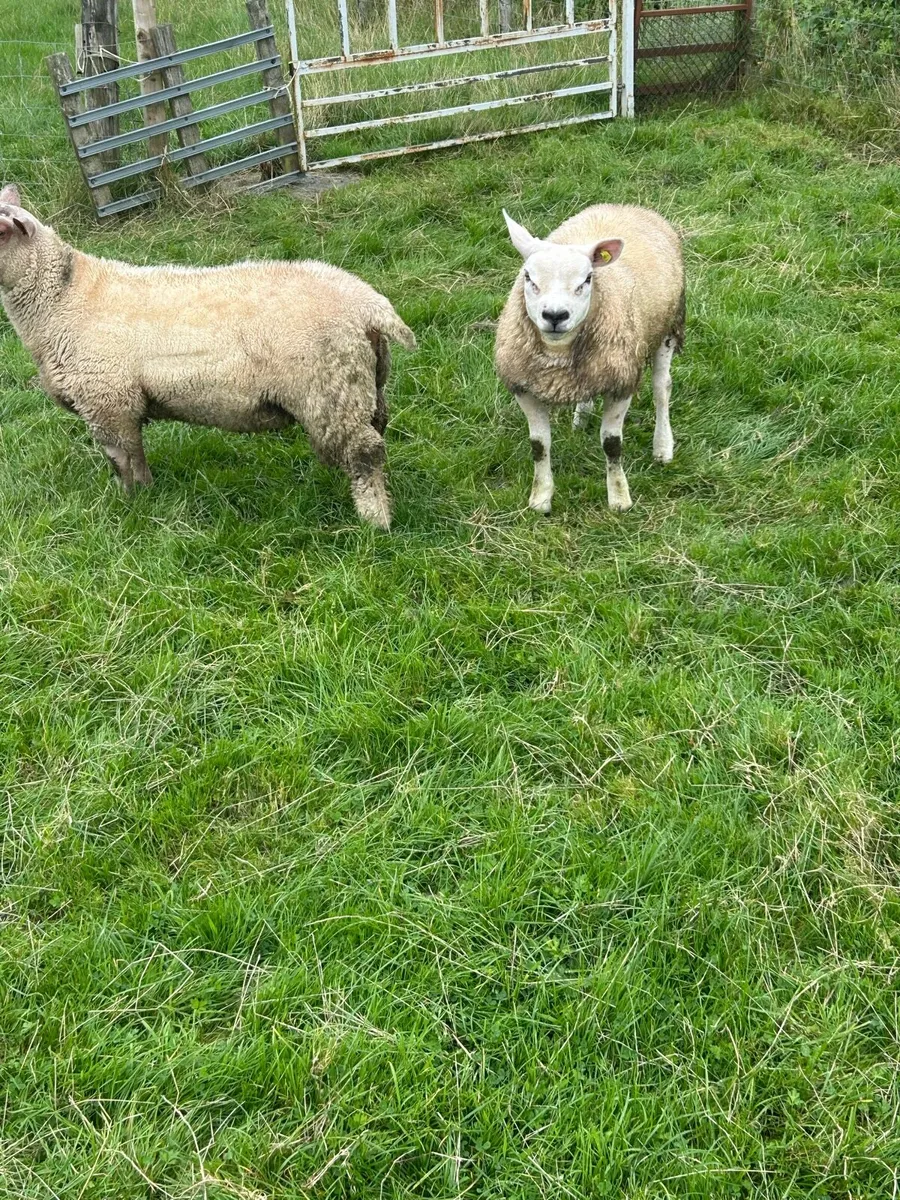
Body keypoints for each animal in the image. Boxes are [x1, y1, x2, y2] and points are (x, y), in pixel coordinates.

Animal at [0, 185, 416, 529]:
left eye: (1, 231)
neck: (62, 300)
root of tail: (369, 306)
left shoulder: (108, 402)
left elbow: (122, 460)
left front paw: (131, 504)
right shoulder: (119, 405)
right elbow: (137, 456)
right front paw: (148, 495)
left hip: (331, 393)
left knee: (365, 453)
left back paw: (375, 521)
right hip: (366, 382)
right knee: (378, 430)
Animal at [494, 203, 684, 514]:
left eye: (587, 279)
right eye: (528, 277)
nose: (555, 315)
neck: (557, 354)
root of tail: (624, 206)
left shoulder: (621, 383)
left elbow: (612, 444)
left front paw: (619, 499)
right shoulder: (523, 387)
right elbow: (539, 445)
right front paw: (541, 499)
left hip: (668, 324)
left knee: (662, 387)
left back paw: (663, 446)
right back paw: (580, 419)